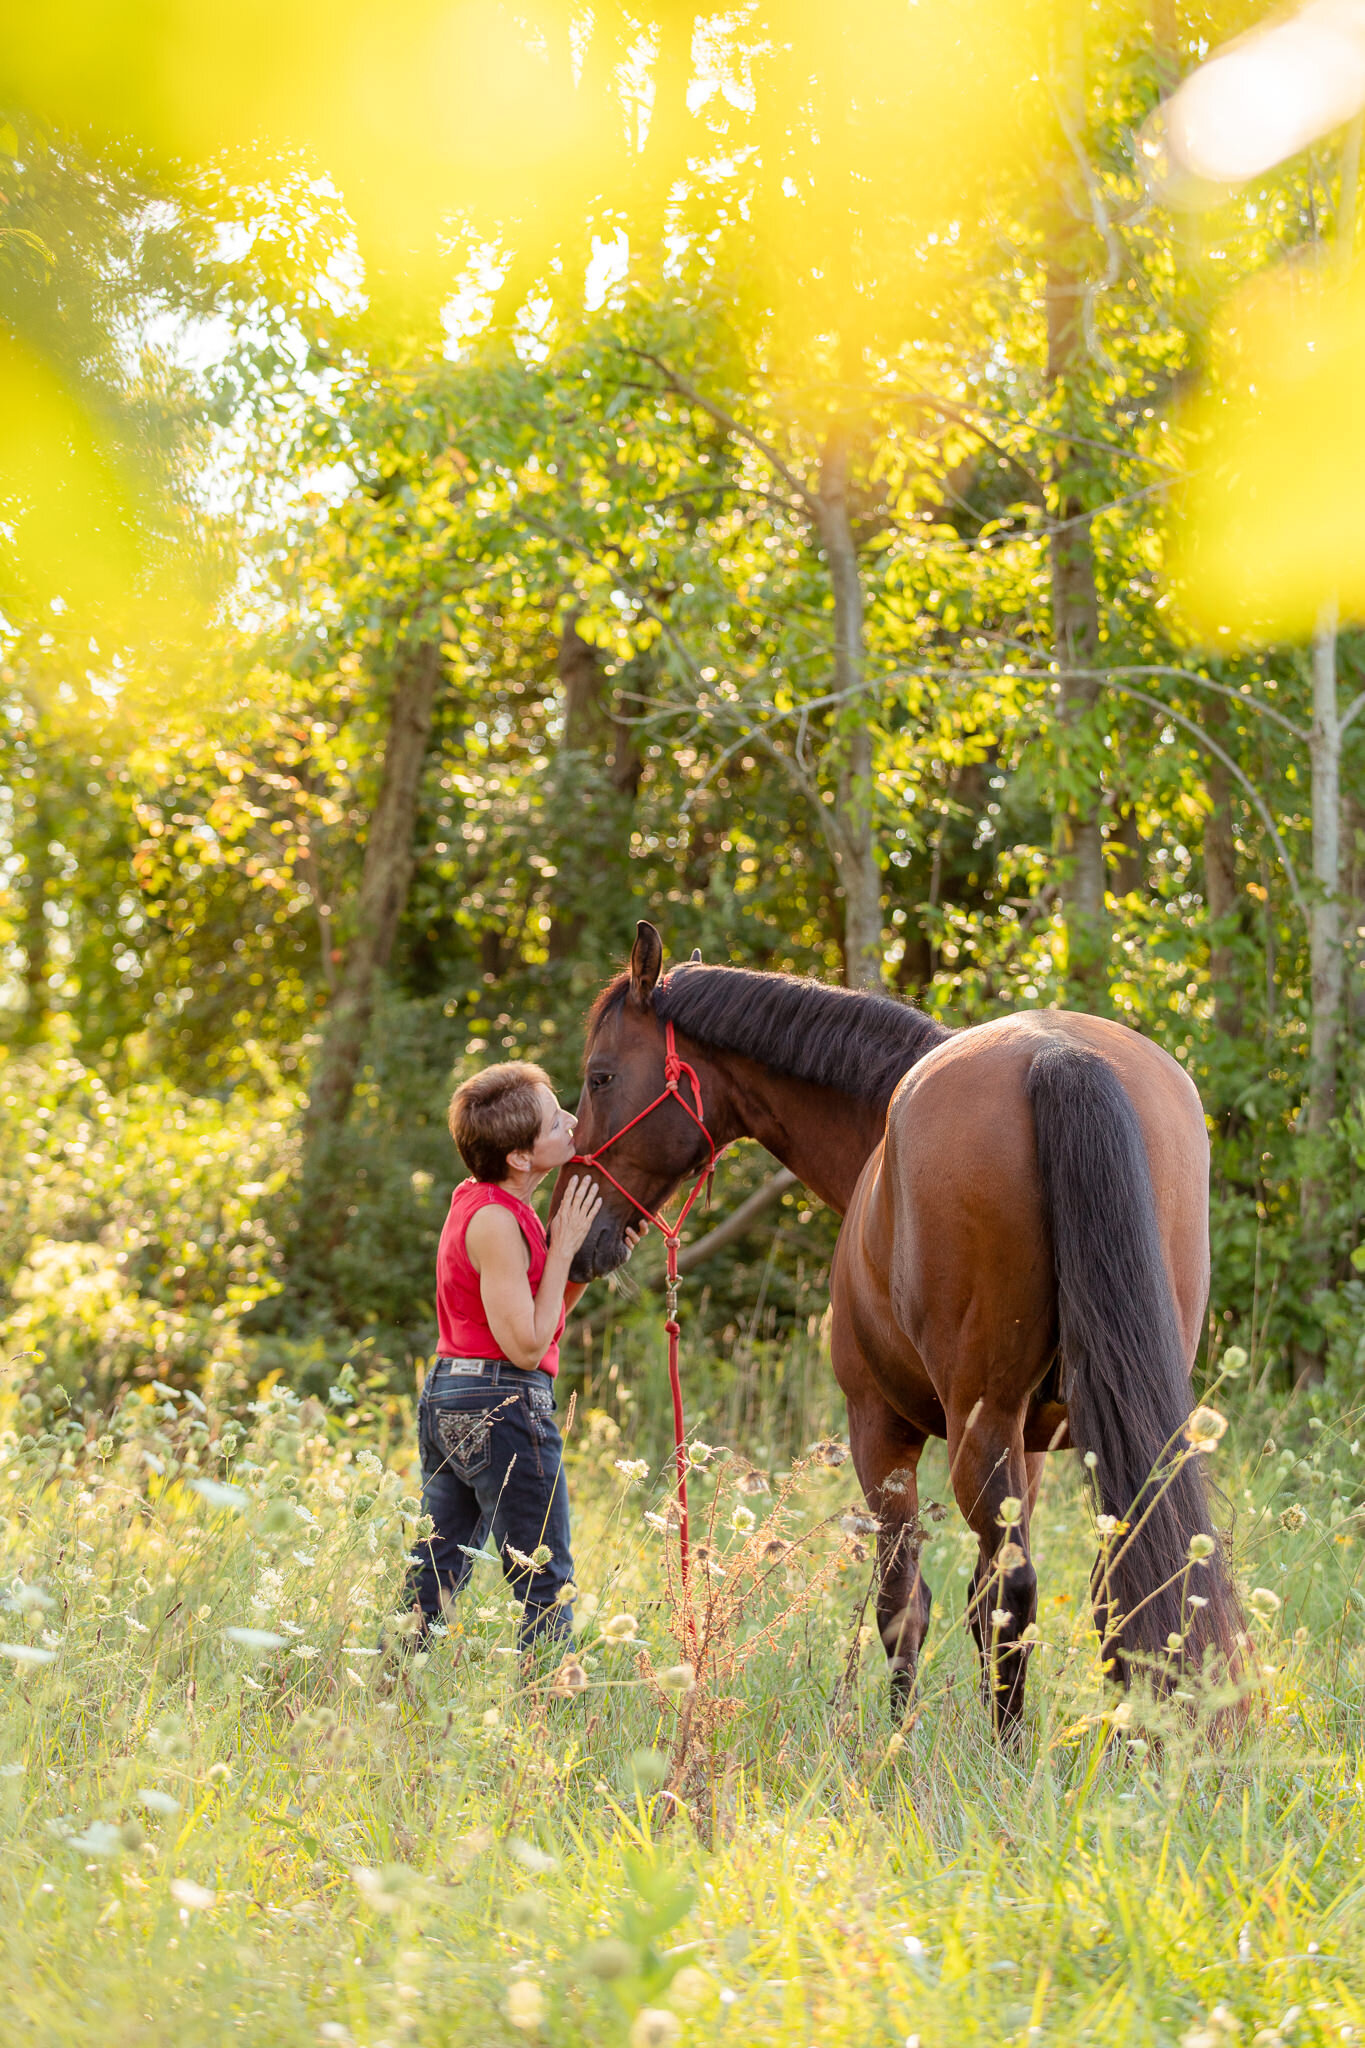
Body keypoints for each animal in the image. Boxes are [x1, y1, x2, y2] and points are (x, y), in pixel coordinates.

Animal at [552, 925, 1236, 1728]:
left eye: (599, 1077)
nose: (572, 1230)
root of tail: (1061, 1057)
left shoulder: (879, 1429)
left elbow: (903, 1604)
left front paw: (893, 1739)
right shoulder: (1033, 1449)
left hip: (977, 1421)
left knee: (1014, 1596)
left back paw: (1009, 1749)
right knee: (1121, 1588)